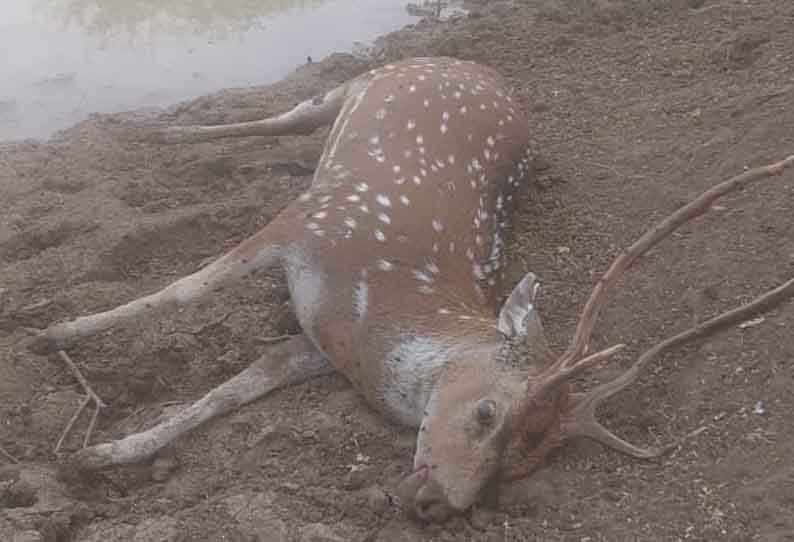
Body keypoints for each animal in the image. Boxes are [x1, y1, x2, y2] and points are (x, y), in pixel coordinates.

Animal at [27, 58, 792, 524]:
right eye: (486, 413)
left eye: (519, 469)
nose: (439, 505)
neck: (377, 308)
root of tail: (479, 66)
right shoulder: (306, 222)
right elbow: (181, 291)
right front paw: (49, 333)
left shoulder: (314, 349)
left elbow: (228, 392)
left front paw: (94, 457)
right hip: (363, 83)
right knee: (292, 111)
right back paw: (157, 129)